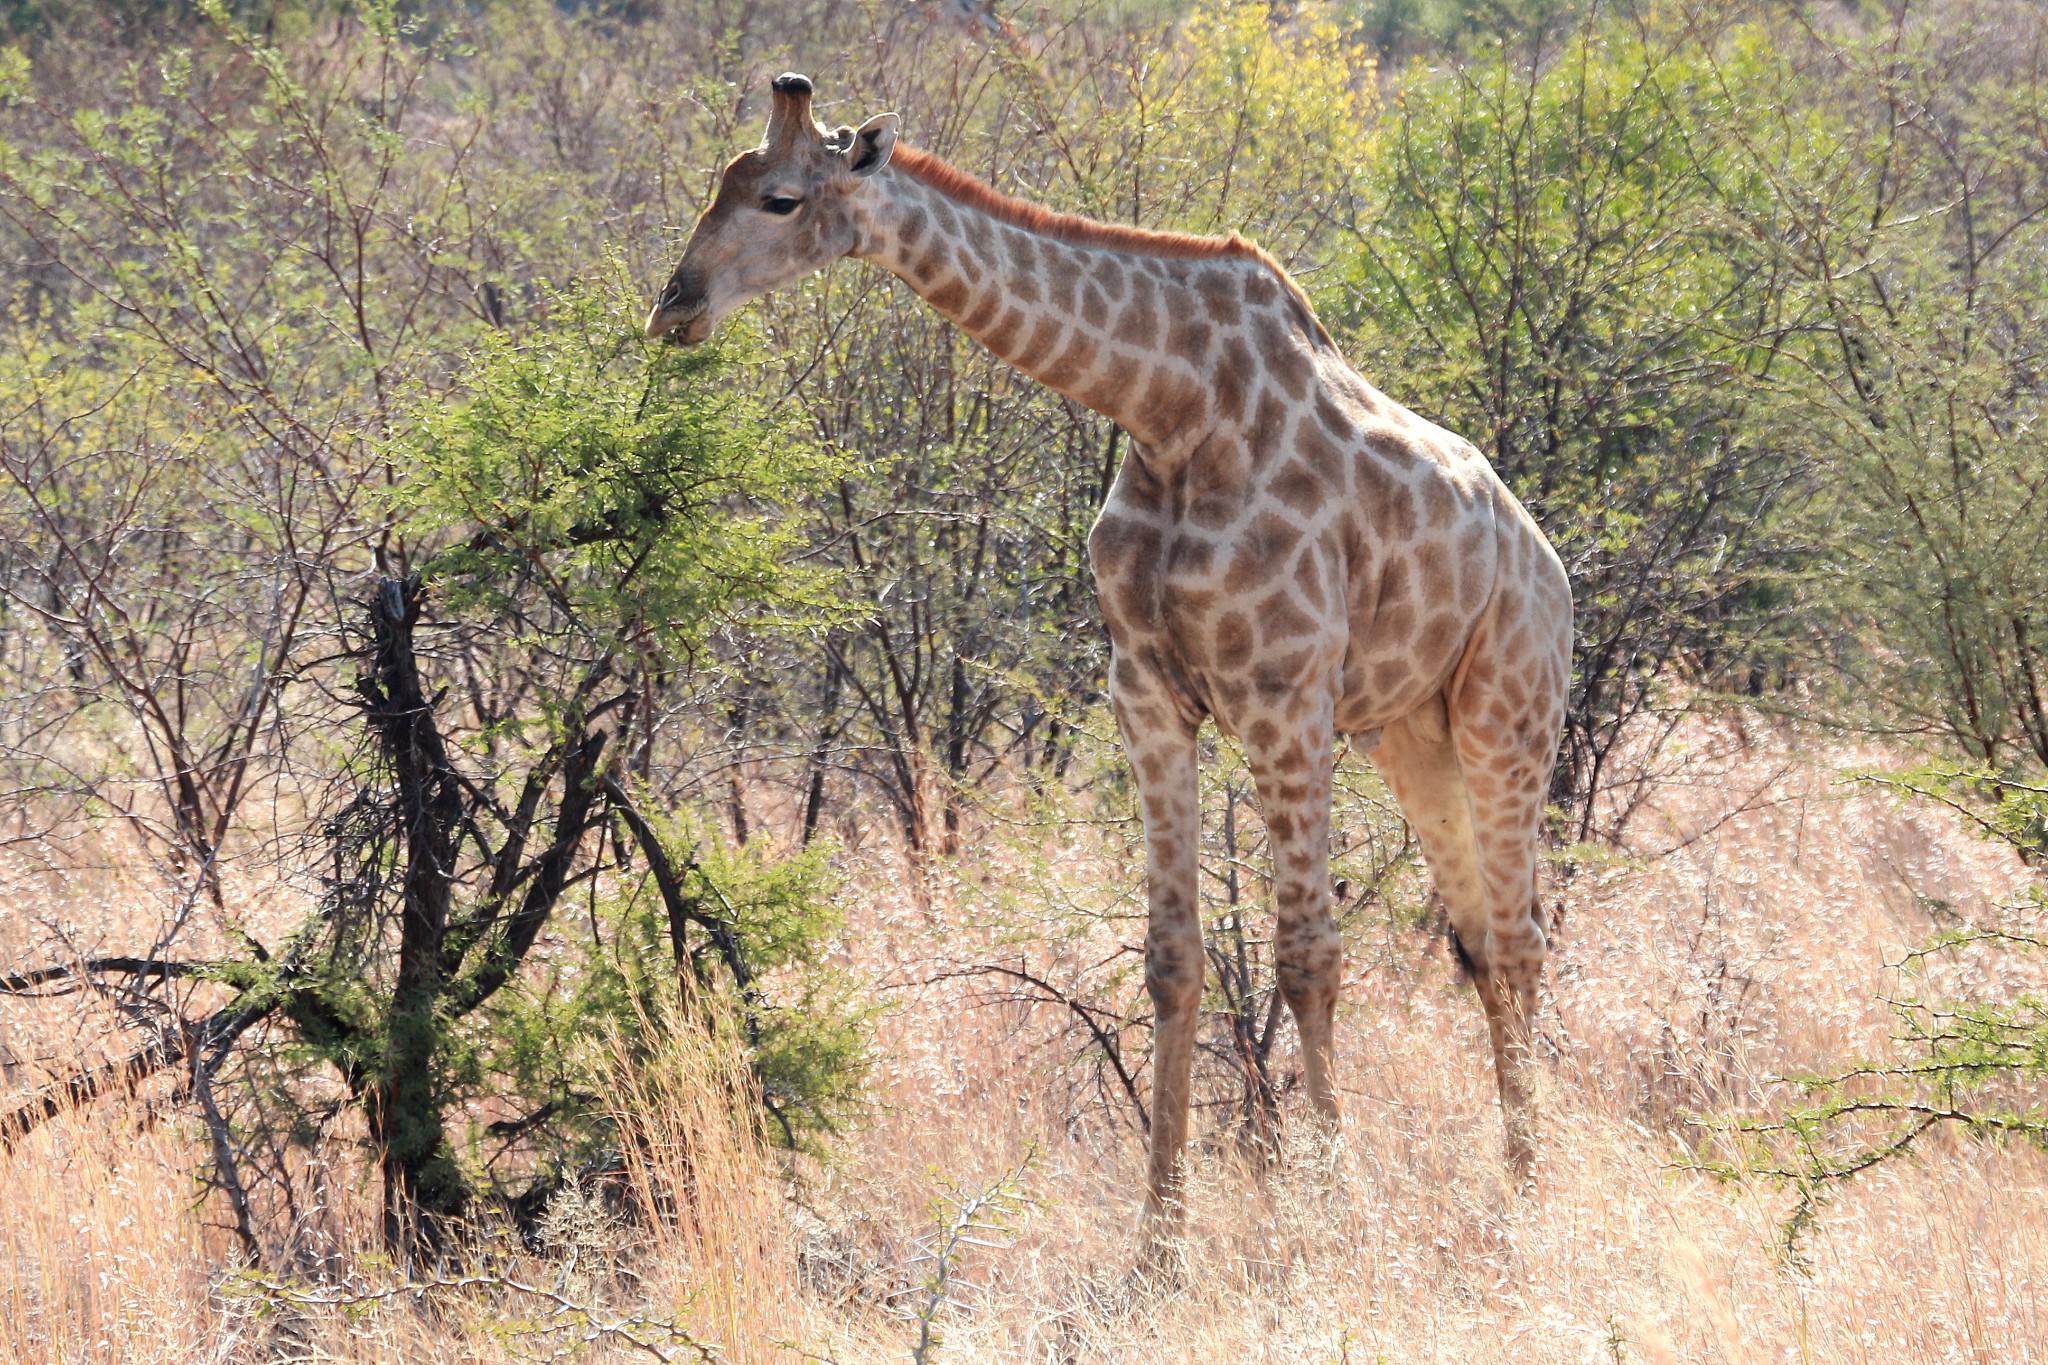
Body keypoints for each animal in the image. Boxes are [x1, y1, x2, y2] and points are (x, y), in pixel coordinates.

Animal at [647, 74, 1572, 1244]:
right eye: (715, 184)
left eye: (777, 198)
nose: (672, 307)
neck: (1169, 408)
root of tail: (1549, 562)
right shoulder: (1147, 694)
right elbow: (1172, 960)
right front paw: (1160, 1240)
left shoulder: (1282, 694)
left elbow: (1307, 956)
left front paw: (1333, 1215)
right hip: (1413, 734)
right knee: (1482, 941)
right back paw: (1514, 1175)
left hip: (1509, 713)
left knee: (1521, 937)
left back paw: (1532, 1193)